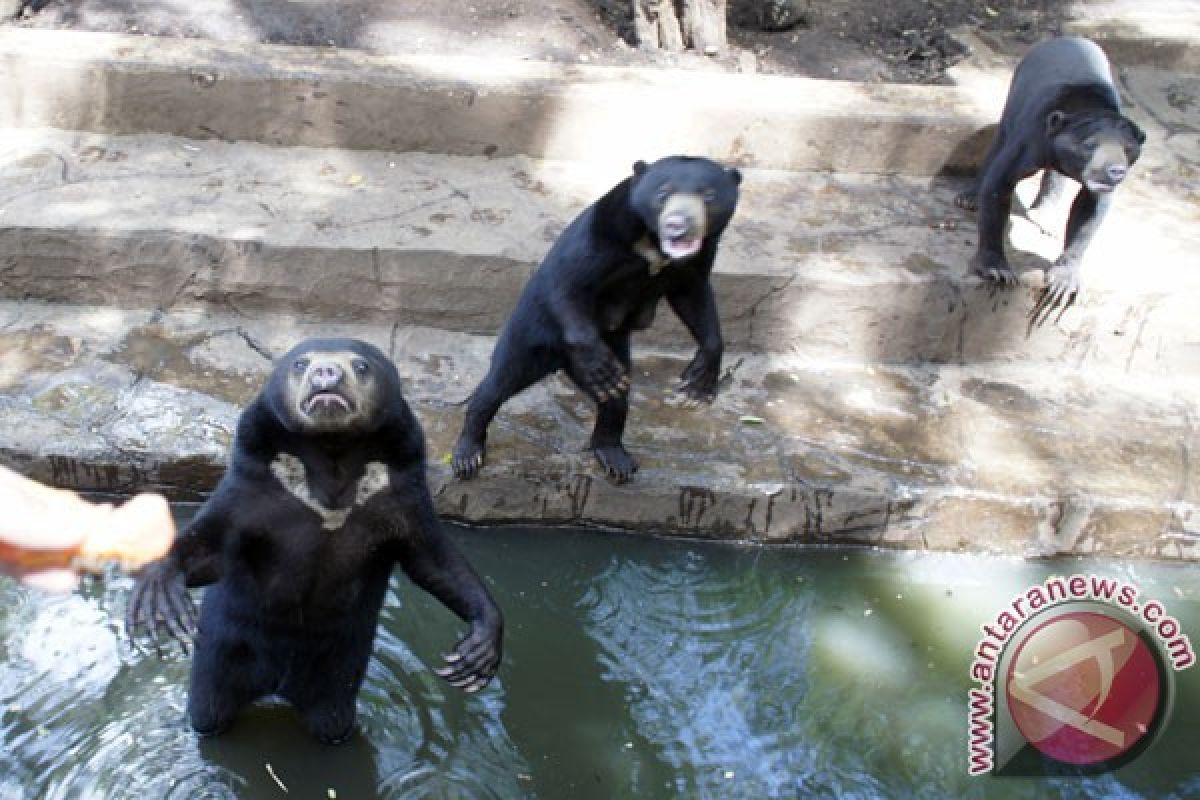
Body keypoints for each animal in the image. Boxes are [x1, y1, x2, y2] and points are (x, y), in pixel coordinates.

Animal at [129, 338, 504, 743]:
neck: (331, 455)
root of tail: (277, 686)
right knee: (209, 706)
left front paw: (477, 653)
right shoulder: (252, 486)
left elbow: (432, 561)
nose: (327, 373)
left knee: (332, 717)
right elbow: (212, 547)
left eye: (360, 365)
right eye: (300, 364)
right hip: (225, 648)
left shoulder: (402, 492)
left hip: (338, 669)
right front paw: (159, 592)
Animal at [451, 154, 739, 484]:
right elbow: (569, 283)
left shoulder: (697, 258)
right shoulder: (603, 235)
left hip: (615, 344)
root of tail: (562, 363)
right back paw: (468, 453)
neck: (653, 245)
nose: (679, 226)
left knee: (616, 398)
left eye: (709, 195)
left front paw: (698, 383)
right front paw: (599, 364)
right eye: (663, 192)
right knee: (500, 381)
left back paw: (614, 456)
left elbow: (693, 297)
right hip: (529, 333)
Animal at [955, 37, 1142, 326]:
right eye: (1089, 145)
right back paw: (969, 198)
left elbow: (1090, 211)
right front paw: (998, 271)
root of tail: (1066, 38)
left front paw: (1062, 285)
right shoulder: (1031, 136)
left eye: (1128, 149)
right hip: (1016, 93)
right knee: (999, 140)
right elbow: (999, 186)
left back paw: (1044, 216)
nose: (1115, 171)